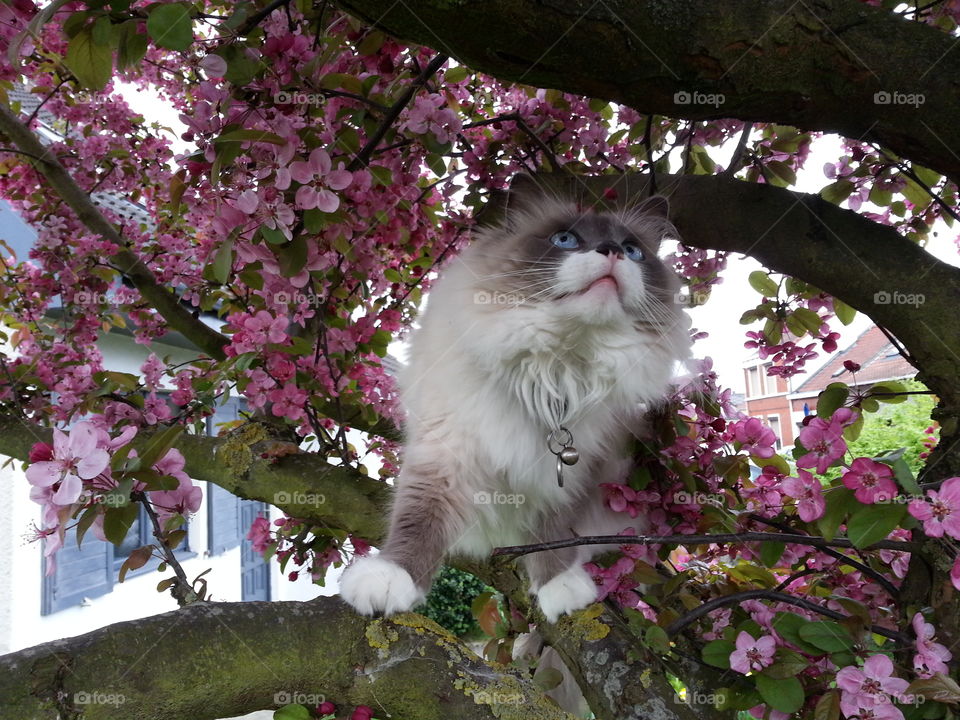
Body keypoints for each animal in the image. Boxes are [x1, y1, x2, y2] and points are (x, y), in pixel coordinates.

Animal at [338, 177, 688, 620]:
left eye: (632, 250)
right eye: (564, 239)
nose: (611, 251)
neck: (556, 369)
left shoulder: (572, 475)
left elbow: (553, 534)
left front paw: (560, 587)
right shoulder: (446, 454)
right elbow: (419, 522)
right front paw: (387, 579)